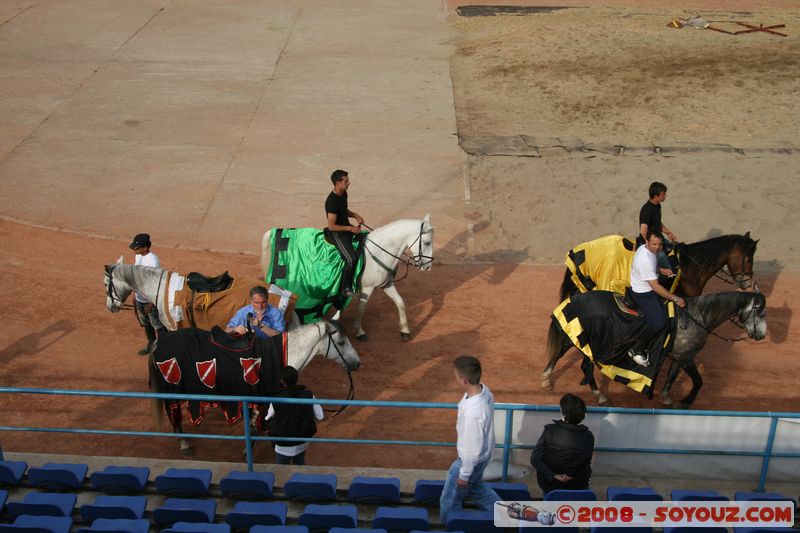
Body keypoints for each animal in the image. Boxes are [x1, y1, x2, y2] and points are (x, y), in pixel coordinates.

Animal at [260, 213, 438, 340]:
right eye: (427, 242)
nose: (428, 267)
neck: (381, 249)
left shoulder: (386, 284)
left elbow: (400, 303)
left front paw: (405, 330)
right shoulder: (367, 288)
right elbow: (361, 308)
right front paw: (359, 331)